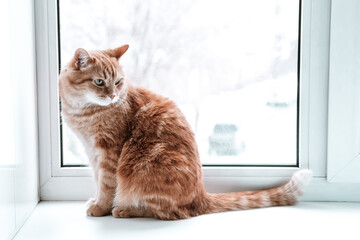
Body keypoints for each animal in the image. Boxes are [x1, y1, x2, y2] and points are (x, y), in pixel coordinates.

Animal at [57, 44, 310, 219]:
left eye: (118, 81)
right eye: (99, 82)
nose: (112, 95)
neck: (83, 111)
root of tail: (201, 195)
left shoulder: (109, 150)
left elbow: (107, 183)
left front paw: (102, 207)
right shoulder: (91, 150)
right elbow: (97, 179)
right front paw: (99, 202)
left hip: (140, 171)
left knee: (169, 212)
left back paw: (125, 209)